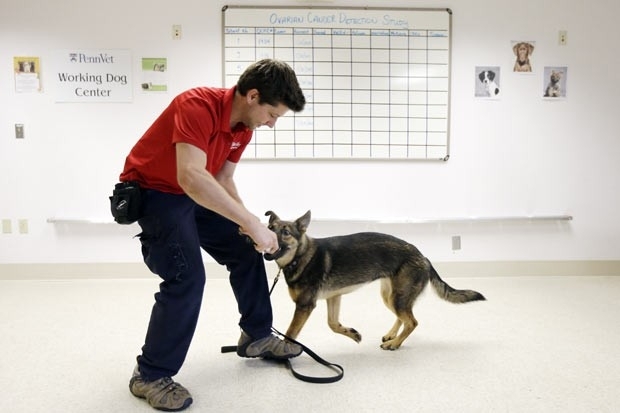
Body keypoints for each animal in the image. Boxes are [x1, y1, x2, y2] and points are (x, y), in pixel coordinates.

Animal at [264, 210, 486, 350]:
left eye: (285, 232)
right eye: (270, 227)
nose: (264, 238)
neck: (300, 256)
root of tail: (423, 257)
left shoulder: (305, 306)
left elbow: (290, 333)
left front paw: (284, 353)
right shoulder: (333, 298)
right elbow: (332, 324)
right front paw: (352, 333)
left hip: (398, 298)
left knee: (412, 322)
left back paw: (394, 344)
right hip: (390, 296)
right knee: (403, 317)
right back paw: (392, 335)